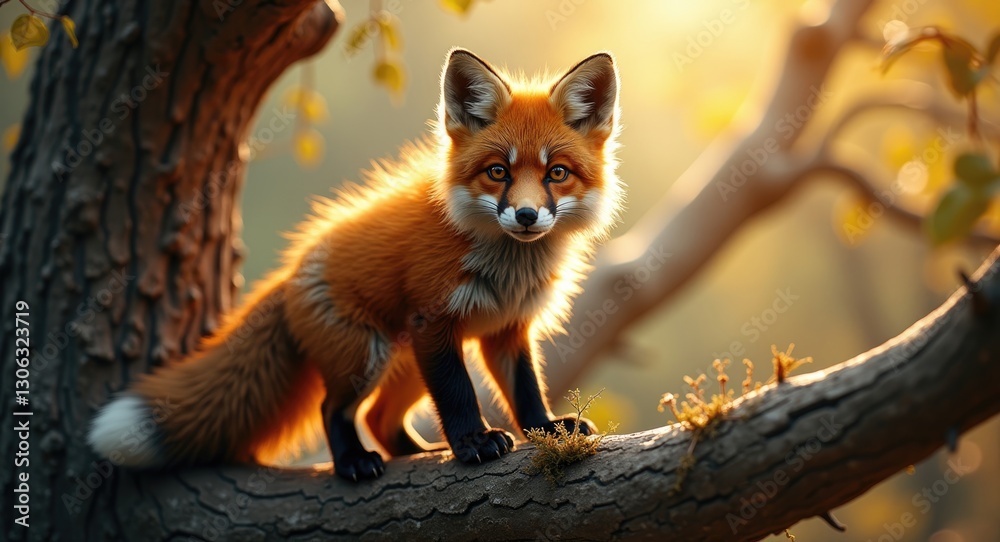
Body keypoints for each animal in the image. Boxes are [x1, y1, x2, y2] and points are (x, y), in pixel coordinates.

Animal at [88, 48, 624, 481]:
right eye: (498, 172)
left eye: (557, 173)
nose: (528, 215)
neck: (507, 268)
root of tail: (290, 272)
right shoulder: (435, 320)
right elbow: (458, 396)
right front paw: (473, 442)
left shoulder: (507, 328)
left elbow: (527, 391)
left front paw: (547, 430)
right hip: (365, 357)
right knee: (336, 411)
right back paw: (353, 463)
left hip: (403, 365)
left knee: (380, 420)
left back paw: (418, 452)